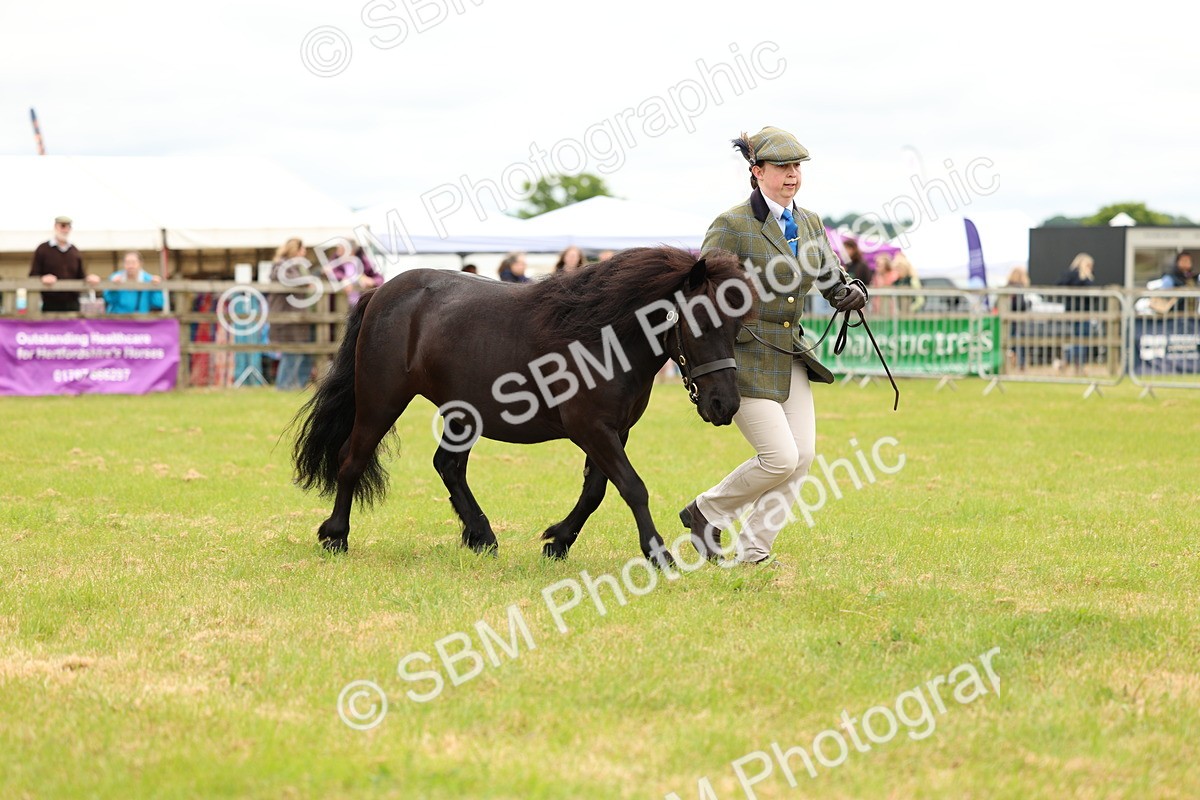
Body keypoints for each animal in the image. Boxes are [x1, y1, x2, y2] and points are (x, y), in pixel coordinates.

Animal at [290, 246, 752, 565]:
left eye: (737, 325)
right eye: (698, 320)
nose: (724, 405)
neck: (604, 338)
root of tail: (380, 293)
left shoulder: (614, 431)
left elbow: (596, 491)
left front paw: (557, 542)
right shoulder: (592, 429)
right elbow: (632, 487)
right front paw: (658, 554)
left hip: (461, 414)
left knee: (448, 466)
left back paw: (482, 536)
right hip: (381, 400)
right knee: (352, 458)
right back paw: (336, 536)